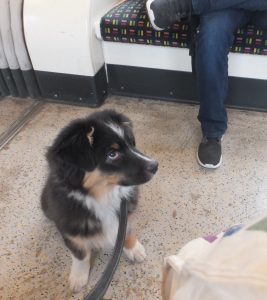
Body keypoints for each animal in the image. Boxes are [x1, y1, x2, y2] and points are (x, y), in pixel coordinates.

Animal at [41, 109, 158, 292]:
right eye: (112, 154)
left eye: (131, 143)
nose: (155, 165)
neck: (104, 197)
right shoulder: (71, 229)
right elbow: (80, 255)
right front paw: (78, 277)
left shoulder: (125, 212)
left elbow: (127, 230)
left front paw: (134, 249)